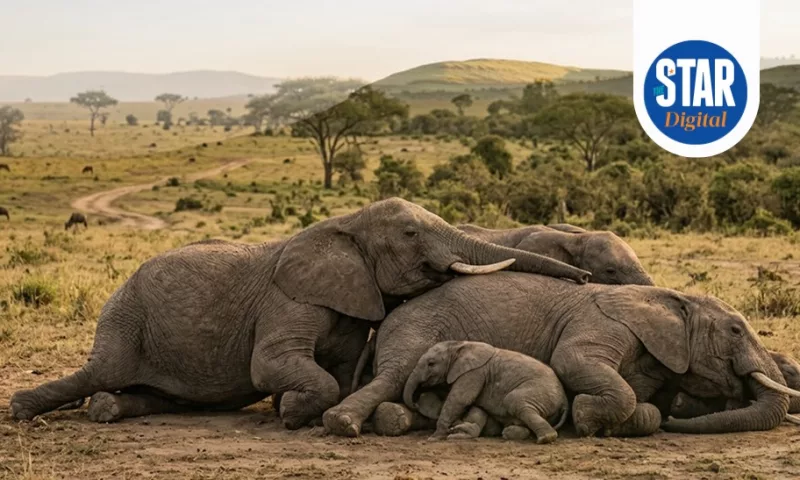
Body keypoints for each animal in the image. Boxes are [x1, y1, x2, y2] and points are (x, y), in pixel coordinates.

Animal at [10, 198, 590, 429]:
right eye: (409, 233)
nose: (586, 278)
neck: (346, 223)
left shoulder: (353, 304)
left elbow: (342, 370)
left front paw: (296, 410)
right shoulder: (289, 299)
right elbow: (271, 365)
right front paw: (290, 411)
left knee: (148, 394)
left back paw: (110, 408)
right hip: (125, 315)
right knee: (102, 369)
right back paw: (22, 409)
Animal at [404, 341, 568, 443]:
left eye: (431, 364)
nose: (415, 402)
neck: (459, 345)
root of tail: (565, 400)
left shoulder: (474, 372)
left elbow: (460, 399)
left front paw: (435, 438)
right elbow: (474, 406)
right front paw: (457, 430)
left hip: (543, 391)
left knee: (513, 400)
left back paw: (546, 438)